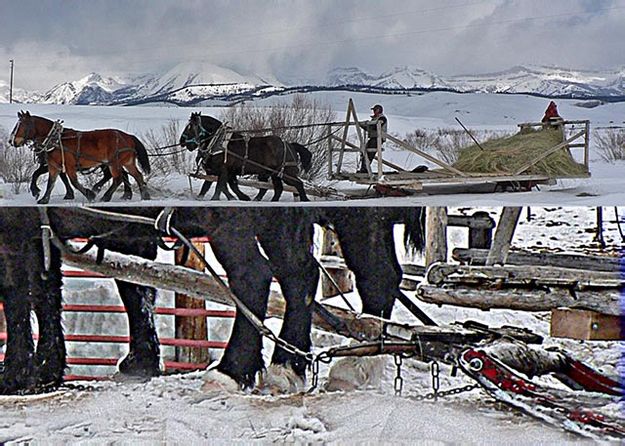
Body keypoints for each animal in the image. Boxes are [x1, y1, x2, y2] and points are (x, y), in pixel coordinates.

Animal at [10, 111, 152, 204]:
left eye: (22, 125)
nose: (12, 141)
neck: (56, 140)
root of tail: (128, 136)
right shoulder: (54, 166)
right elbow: (51, 182)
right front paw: (44, 199)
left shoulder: (68, 165)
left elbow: (73, 182)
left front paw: (90, 195)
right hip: (126, 162)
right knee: (136, 175)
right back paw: (144, 196)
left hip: (113, 163)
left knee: (118, 178)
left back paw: (105, 196)